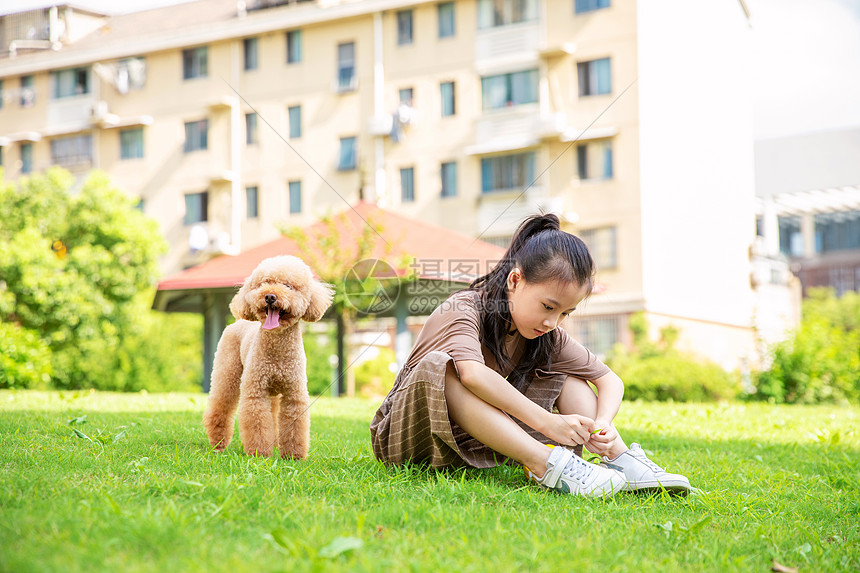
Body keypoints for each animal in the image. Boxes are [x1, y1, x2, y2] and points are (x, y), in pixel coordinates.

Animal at [203, 255, 334, 456]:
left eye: (288, 286)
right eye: (264, 283)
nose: (270, 296)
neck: (277, 349)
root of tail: (238, 320)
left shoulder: (294, 394)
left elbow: (294, 425)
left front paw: (293, 456)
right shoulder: (256, 392)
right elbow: (257, 422)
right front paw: (259, 453)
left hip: (271, 393)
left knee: (272, 415)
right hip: (227, 372)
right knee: (221, 406)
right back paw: (218, 444)